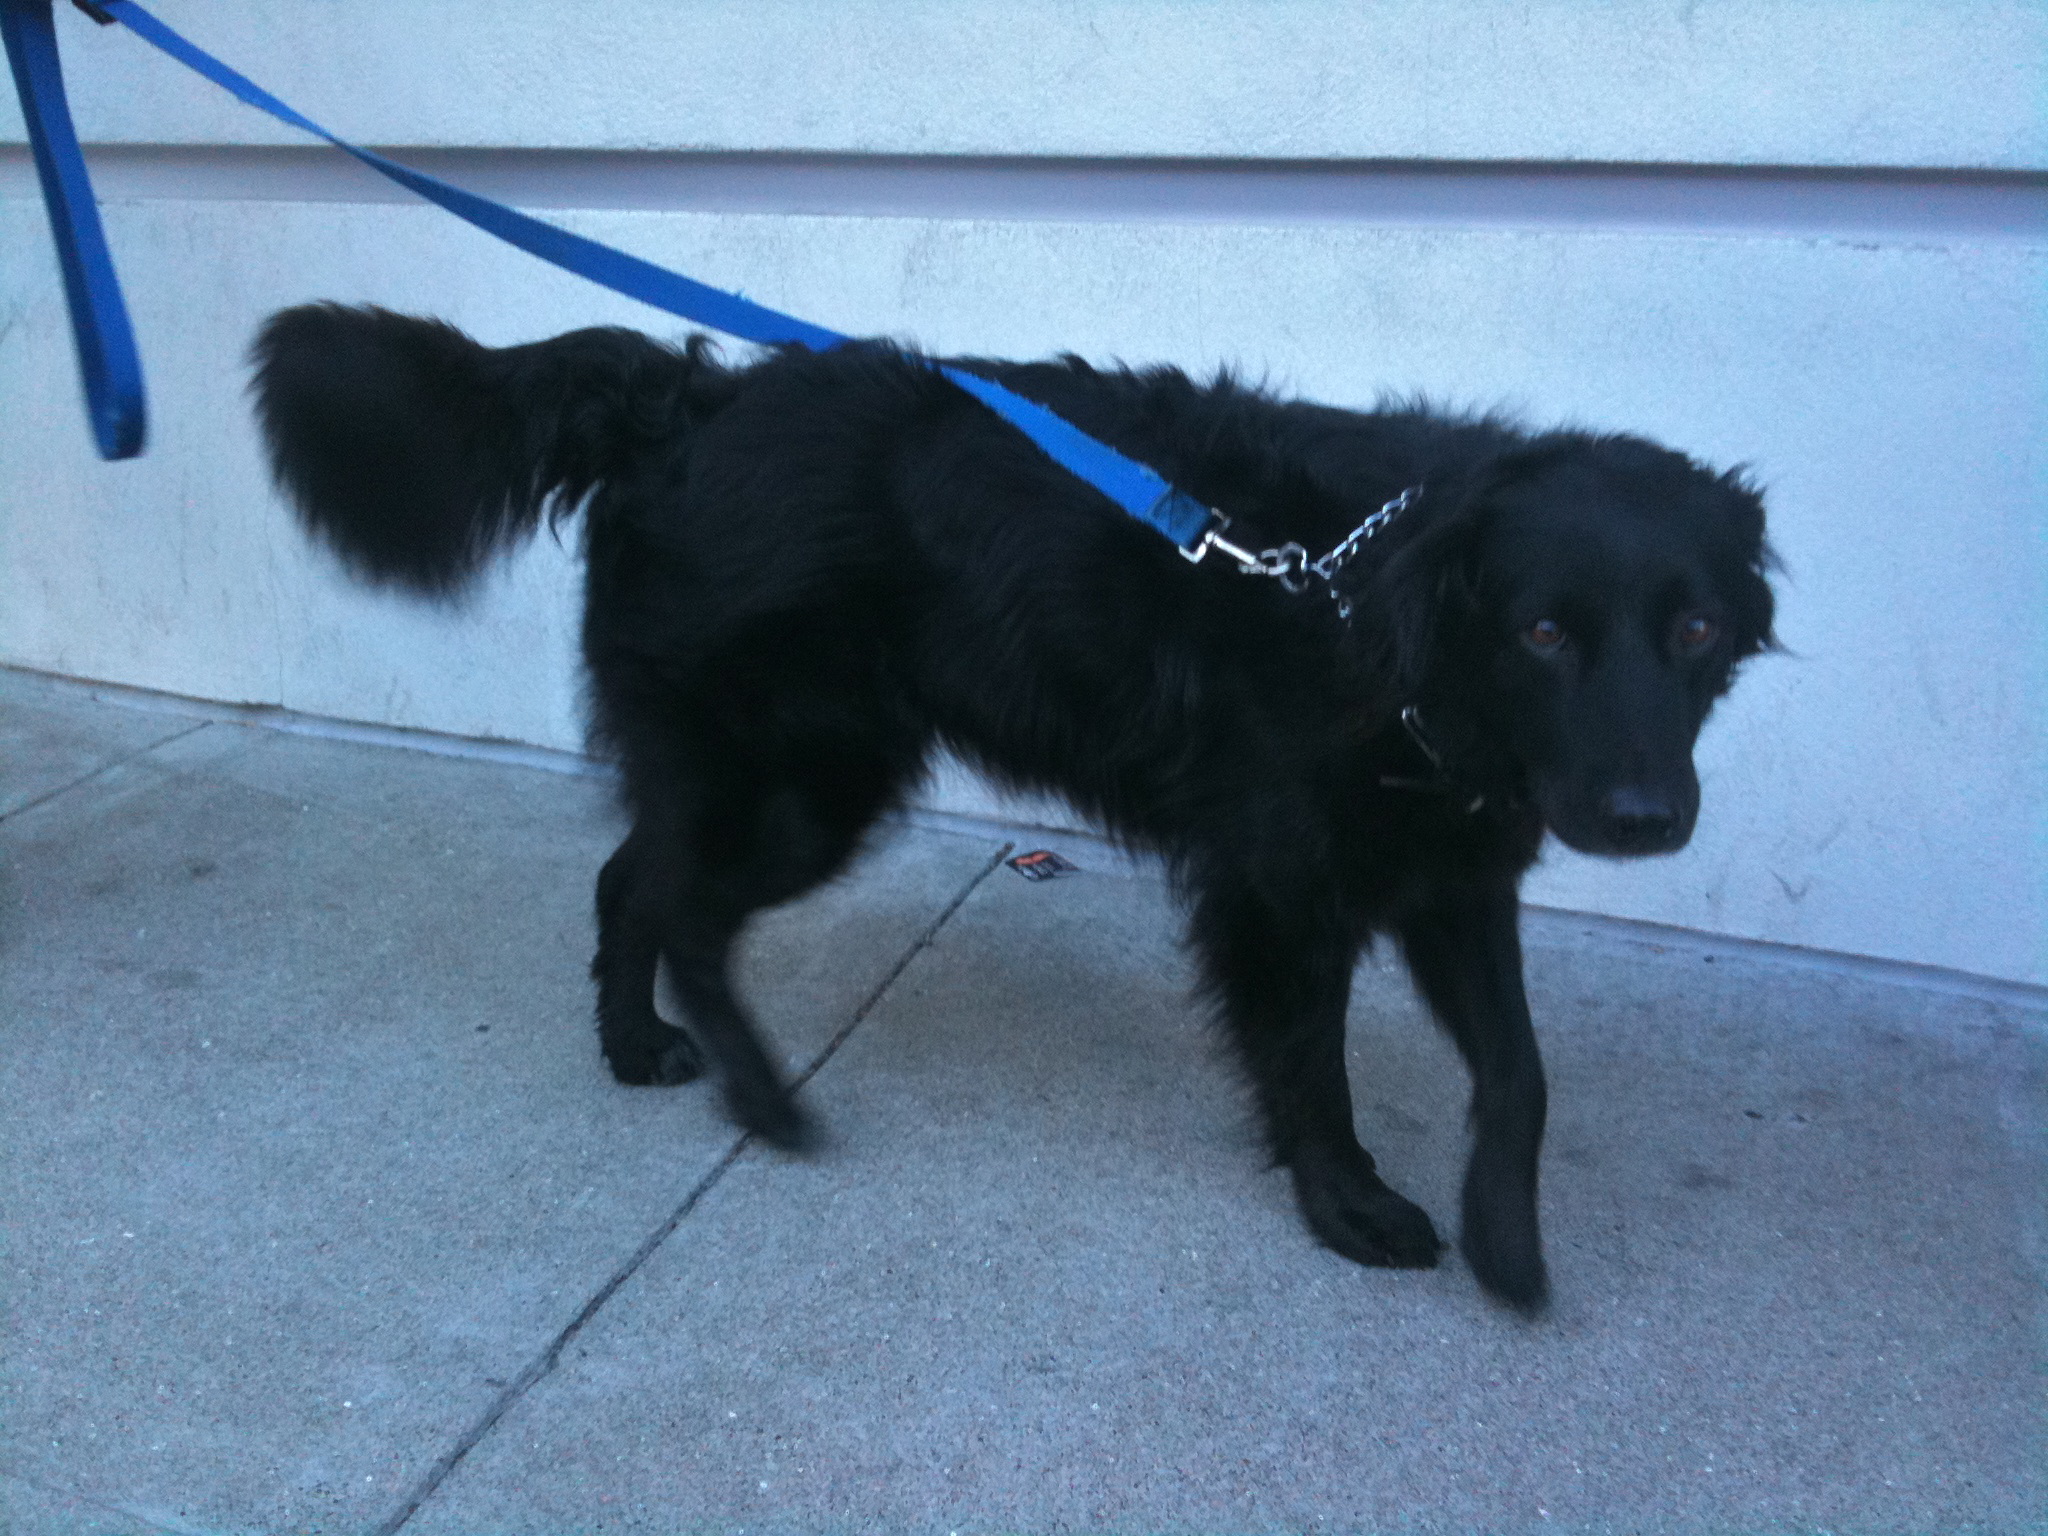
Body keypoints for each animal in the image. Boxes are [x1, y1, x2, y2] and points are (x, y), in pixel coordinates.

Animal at [251, 307, 1761, 1318]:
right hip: (807, 783)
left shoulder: (1452, 870)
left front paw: (1506, 1242)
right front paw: (1345, 1205)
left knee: (635, 879)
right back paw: (763, 1099)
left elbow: (1520, 1072)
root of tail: (688, 402)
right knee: (679, 903)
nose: (1644, 817)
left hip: (749, 770)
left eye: (1693, 628)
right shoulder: (1282, 889)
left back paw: (637, 1047)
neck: (1363, 612)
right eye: (1545, 632)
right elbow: (1312, 1067)